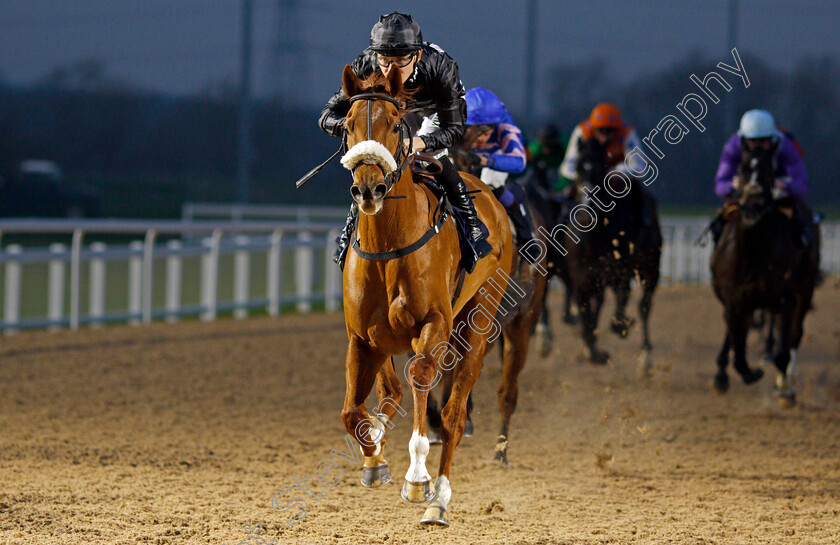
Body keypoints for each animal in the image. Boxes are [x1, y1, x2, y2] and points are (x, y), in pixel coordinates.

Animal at [560, 138, 660, 372]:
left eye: (600, 169)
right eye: (578, 169)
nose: (585, 215)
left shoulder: (621, 269)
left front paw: (620, 326)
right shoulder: (581, 276)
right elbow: (585, 312)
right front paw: (593, 351)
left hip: (651, 267)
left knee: (644, 305)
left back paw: (645, 354)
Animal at [708, 142, 820, 406]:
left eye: (770, 169)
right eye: (741, 168)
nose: (753, 205)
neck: (753, 251)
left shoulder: (785, 298)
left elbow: (783, 351)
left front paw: (785, 388)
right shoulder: (735, 300)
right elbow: (739, 354)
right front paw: (747, 373)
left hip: (804, 291)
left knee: (795, 336)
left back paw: (787, 379)